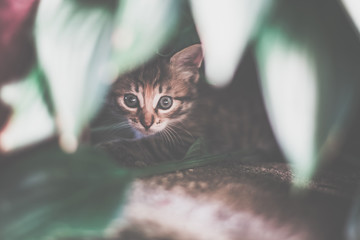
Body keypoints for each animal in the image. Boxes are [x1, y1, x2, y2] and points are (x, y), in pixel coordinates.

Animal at [94, 43, 280, 167]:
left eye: (165, 102)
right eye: (130, 100)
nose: (146, 123)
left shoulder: (190, 141)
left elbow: (149, 145)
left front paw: (103, 150)